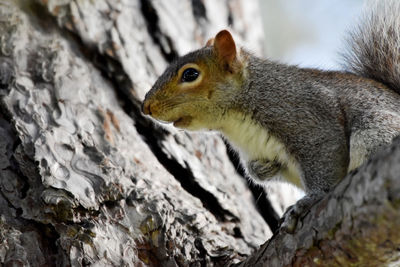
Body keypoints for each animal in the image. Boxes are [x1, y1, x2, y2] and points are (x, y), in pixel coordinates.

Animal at [140, 0, 400, 232]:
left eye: (190, 74)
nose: (146, 107)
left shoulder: (309, 118)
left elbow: (325, 160)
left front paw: (310, 199)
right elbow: (258, 171)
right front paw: (264, 168)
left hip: (375, 130)